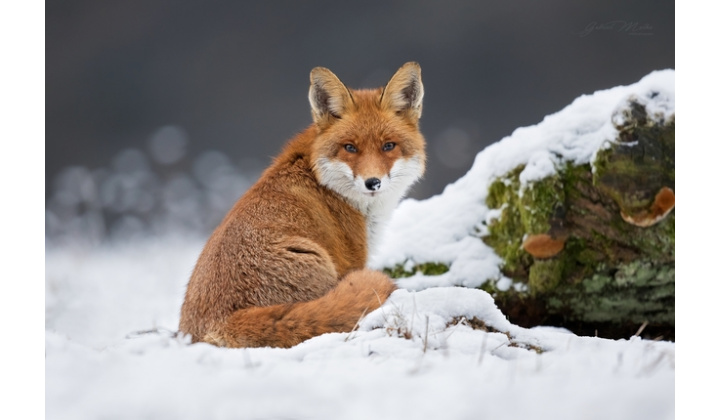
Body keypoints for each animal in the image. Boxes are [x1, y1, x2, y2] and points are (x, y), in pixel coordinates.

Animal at [180, 61, 428, 348]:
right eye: (350, 148)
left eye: (388, 146)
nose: (372, 182)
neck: (322, 180)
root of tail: (221, 321)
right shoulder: (351, 260)